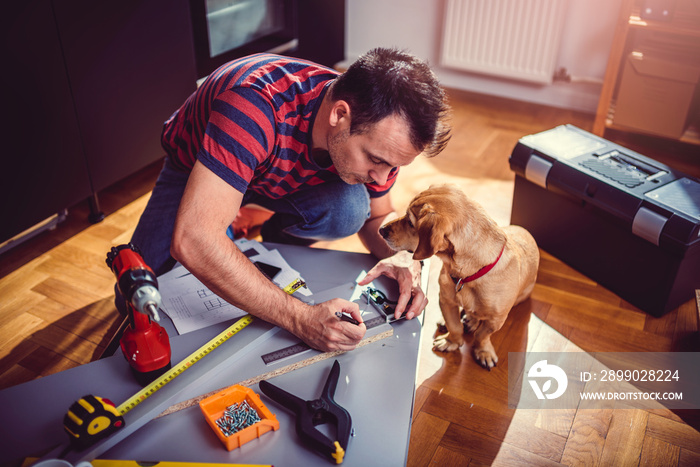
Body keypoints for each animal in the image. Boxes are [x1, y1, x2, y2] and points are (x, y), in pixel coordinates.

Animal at [380, 183, 540, 370]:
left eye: (410, 222)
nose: (381, 230)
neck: (468, 274)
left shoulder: (496, 320)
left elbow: (482, 336)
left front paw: (483, 351)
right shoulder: (446, 300)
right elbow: (455, 326)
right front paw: (451, 342)